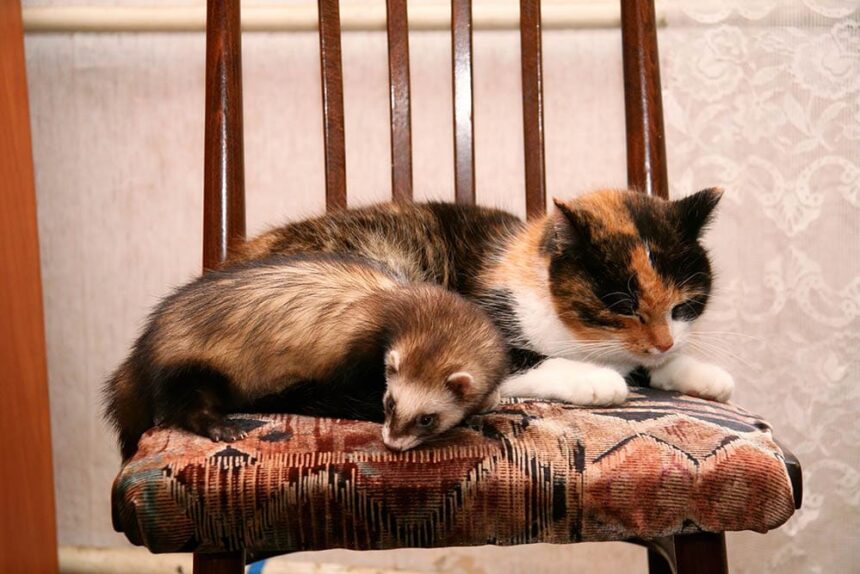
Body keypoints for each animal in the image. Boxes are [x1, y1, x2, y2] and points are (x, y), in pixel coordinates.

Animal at [230, 191, 732, 408]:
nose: (664, 342)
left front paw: (700, 373)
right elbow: (522, 361)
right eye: (625, 306)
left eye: (684, 305)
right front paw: (597, 379)